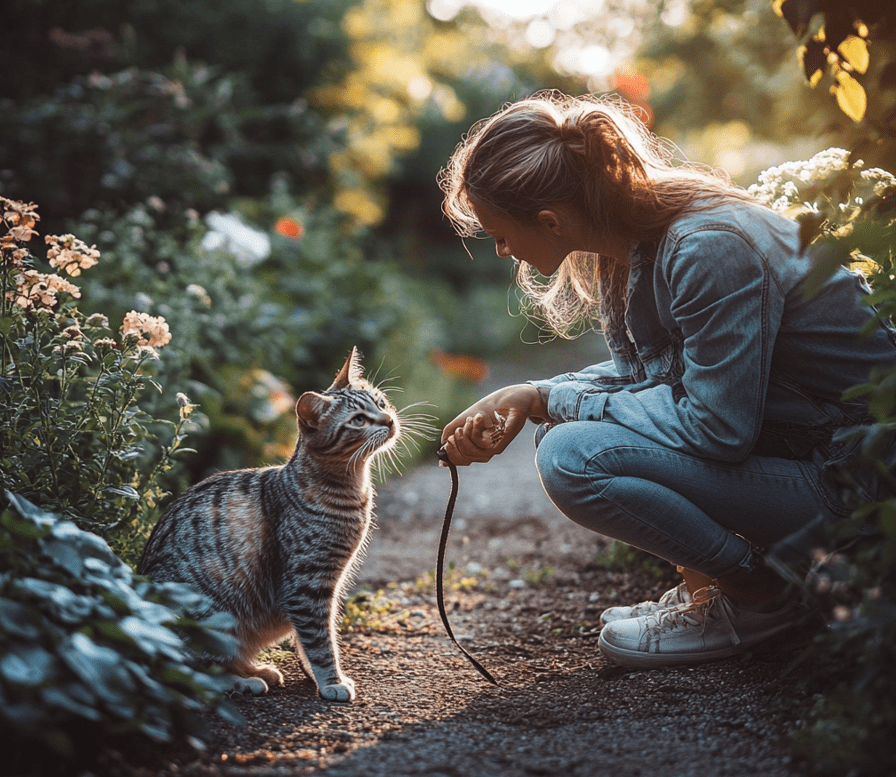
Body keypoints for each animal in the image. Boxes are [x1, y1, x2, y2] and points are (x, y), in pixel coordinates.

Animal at [139, 348, 424, 700]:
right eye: (359, 419)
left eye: (381, 403)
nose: (389, 420)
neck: (350, 492)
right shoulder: (306, 585)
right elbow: (319, 642)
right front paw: (331, 681)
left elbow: (310, 641)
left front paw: (316, 676)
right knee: (191, 671)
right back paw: (240, 681)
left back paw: (254, 669)